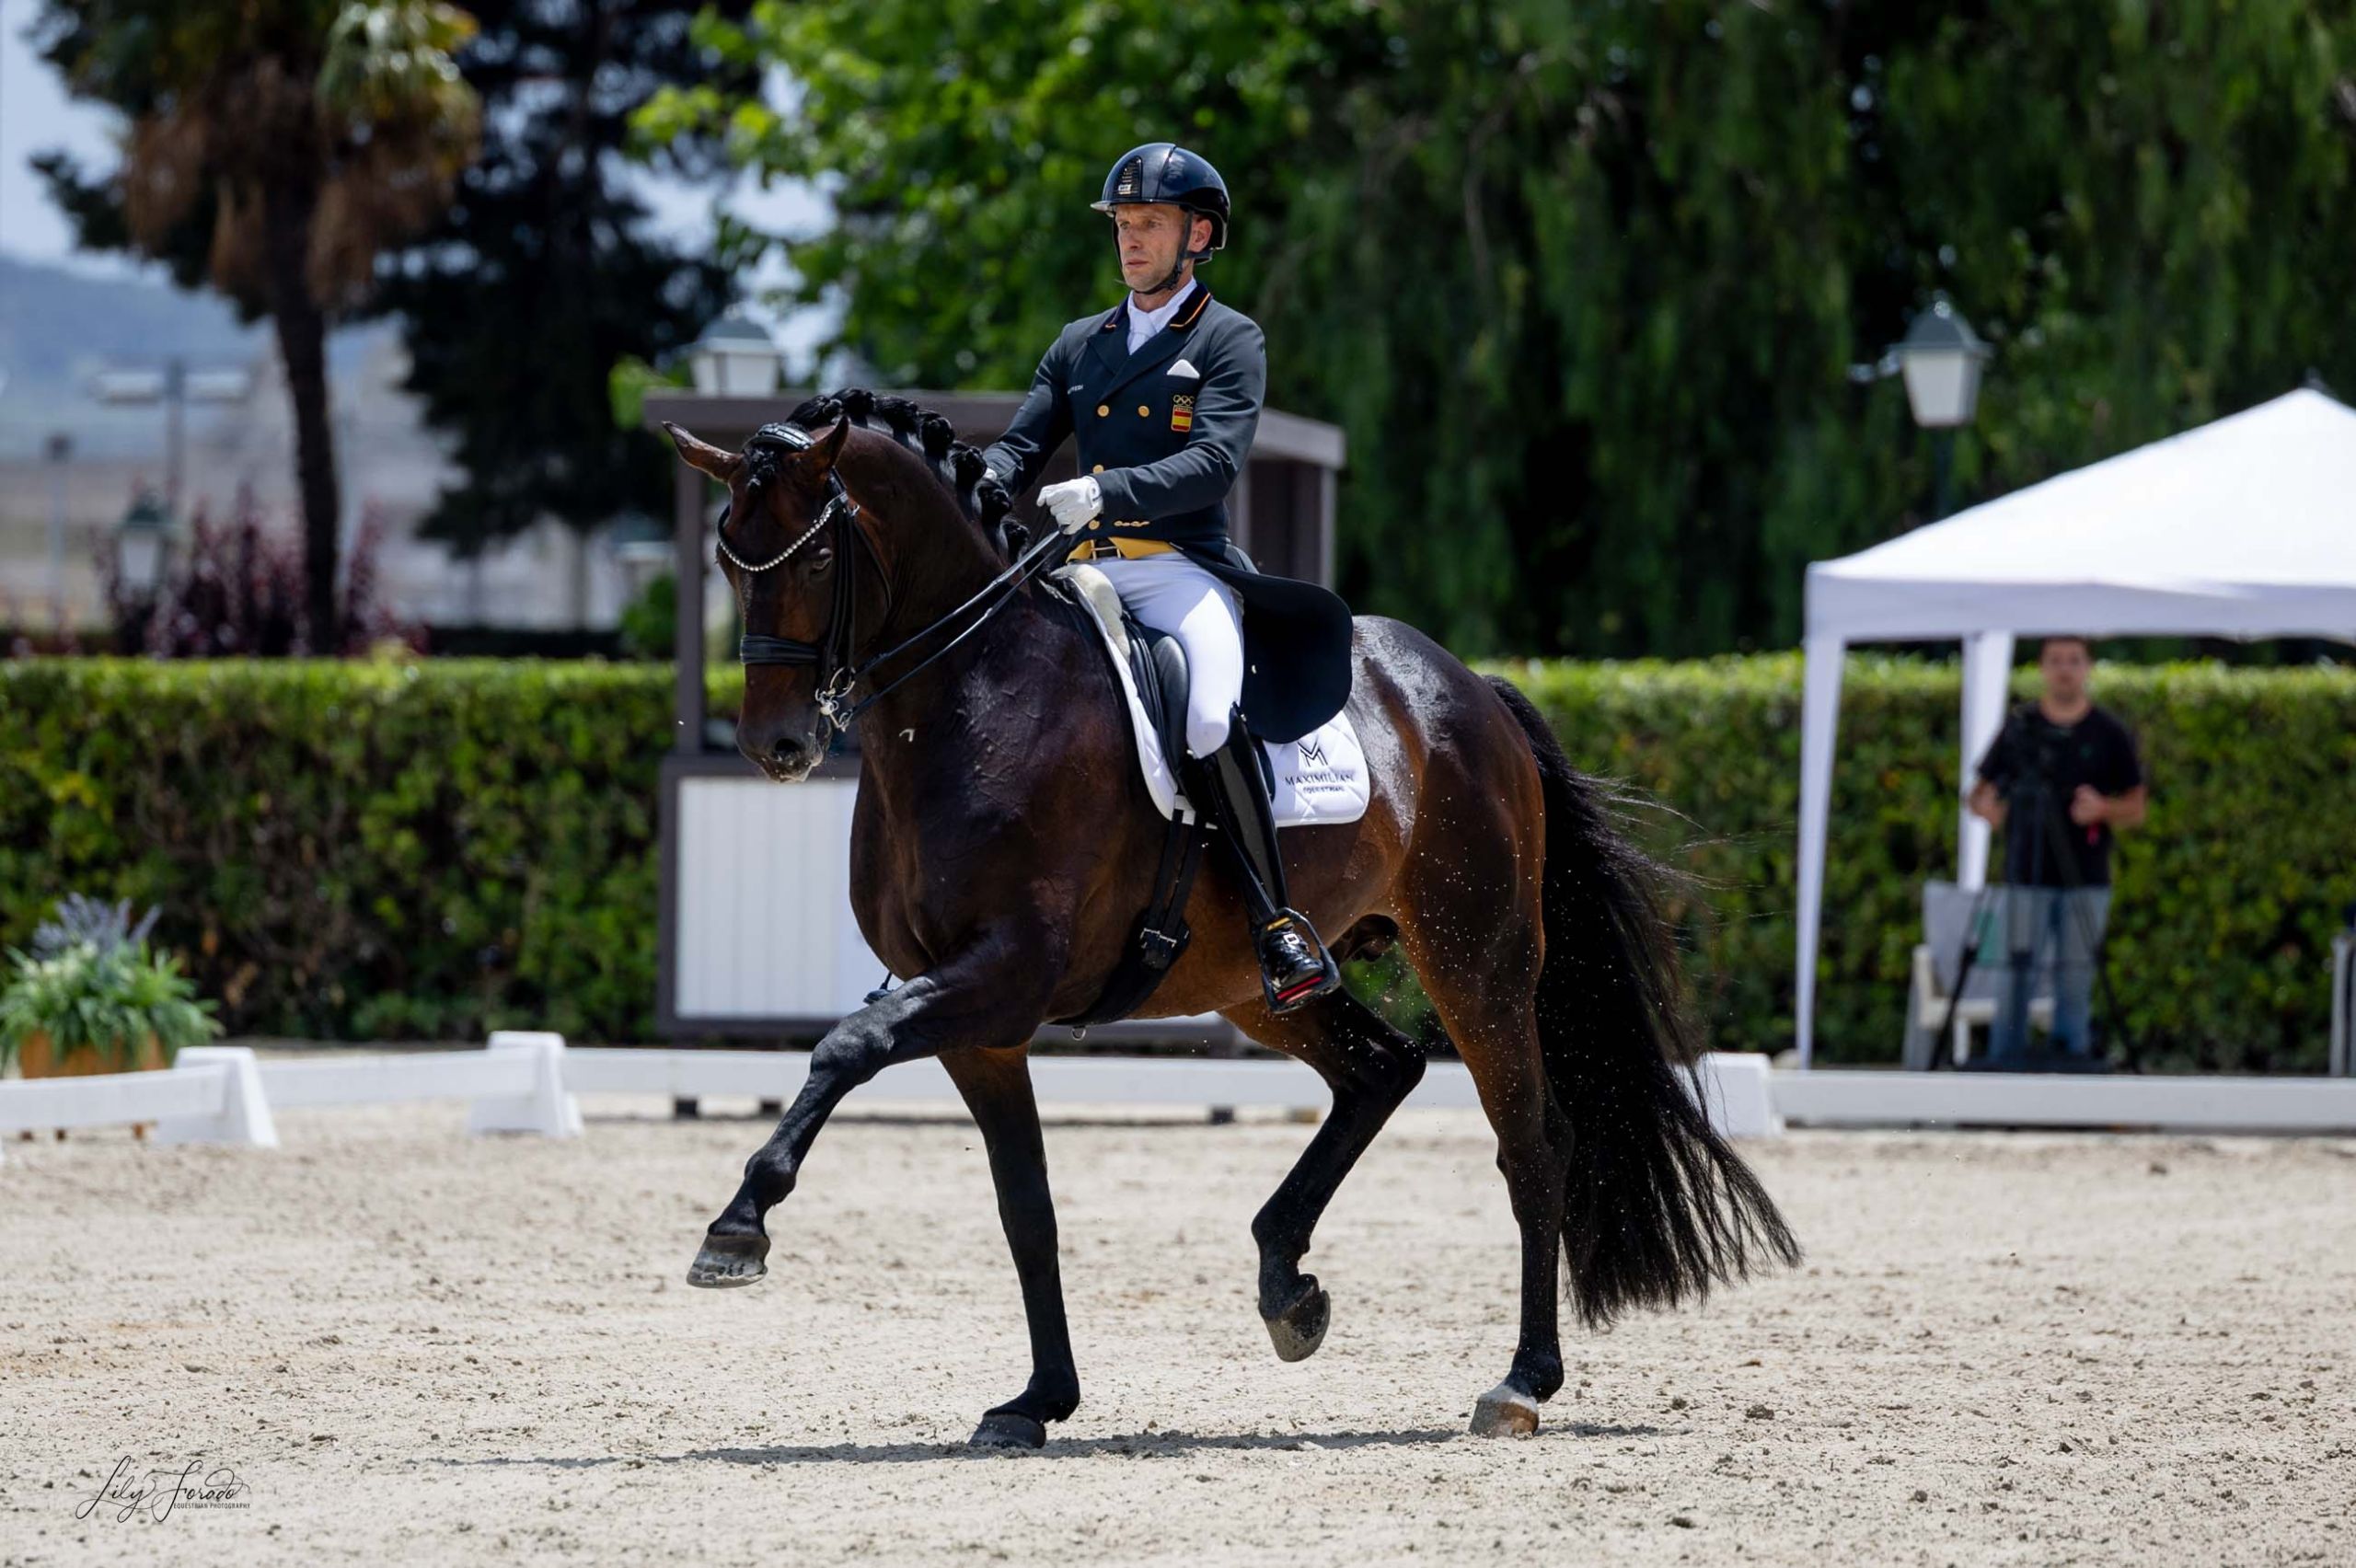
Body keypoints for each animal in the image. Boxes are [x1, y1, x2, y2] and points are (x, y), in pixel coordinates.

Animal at [654, 398, 1790, 1450]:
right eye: (727, 556)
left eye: (814, 554)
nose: (776, 746)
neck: (973, 699)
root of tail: (1471, 690)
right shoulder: (985, 1028)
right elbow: (1028, 1210)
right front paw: (1038, 1401)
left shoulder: (1004, 976)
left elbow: (848, 1046)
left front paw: (738, 1229)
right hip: (1262, 983)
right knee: (1381, 1072)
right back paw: (1288, 1286)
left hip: (1476, 960)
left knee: (1532, 1143)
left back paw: (1520, 1383)